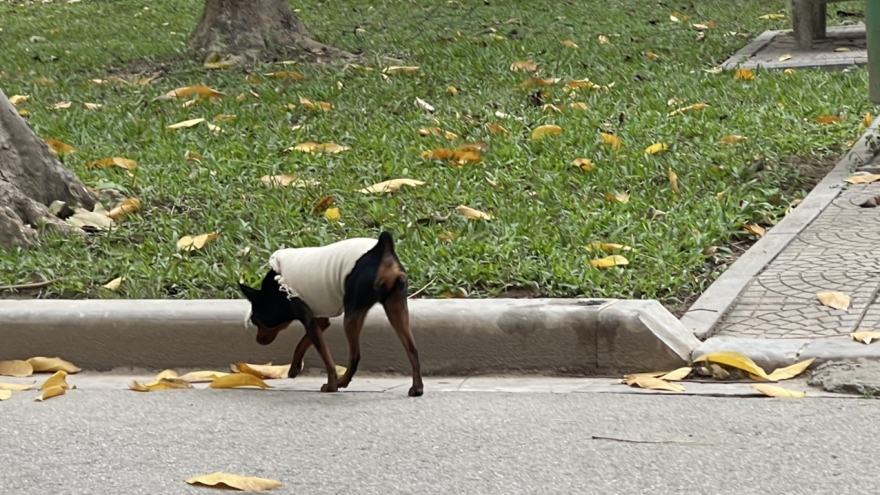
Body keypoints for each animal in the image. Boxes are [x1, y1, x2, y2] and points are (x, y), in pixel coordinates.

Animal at [237, 232, 422, 400]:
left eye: (255, 321)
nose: (258, 340)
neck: (274, 293)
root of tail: (383, 249)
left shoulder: (307, 317)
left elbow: (325, 357)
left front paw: (331, 385)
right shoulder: (319, 320)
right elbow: (303, 342)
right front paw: (294, 368)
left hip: (353, 313)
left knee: (355, 355)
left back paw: (342, 382)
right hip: (396, 306)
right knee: (412, 349)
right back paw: (417, 388)